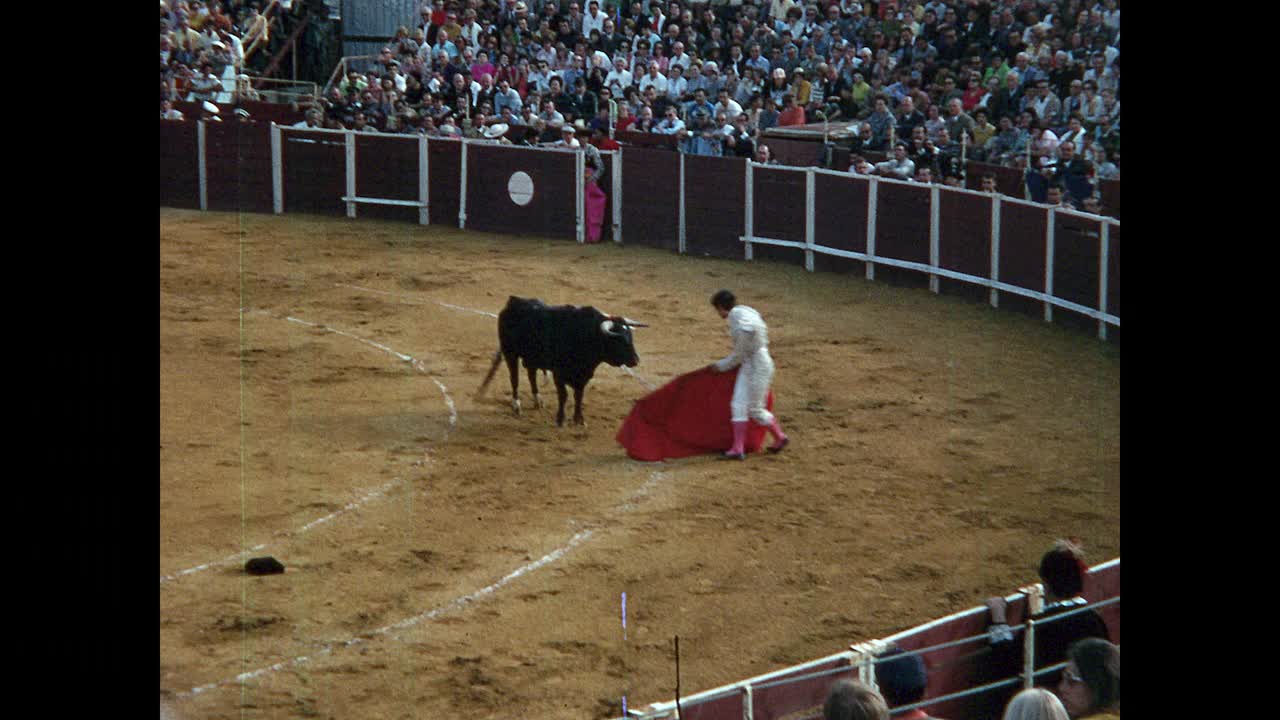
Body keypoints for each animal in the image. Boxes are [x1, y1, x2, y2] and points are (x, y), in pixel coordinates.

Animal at [476, 294, 645, 422]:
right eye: (619, 340)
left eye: (631, 338)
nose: (635, 360)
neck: (586, 335)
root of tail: (513, 301)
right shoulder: (558, 374)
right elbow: (563, 396)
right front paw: (561, 419)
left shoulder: (583, 376)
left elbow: (578, 396)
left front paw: (578, 419)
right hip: (510, 353)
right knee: (514, 378)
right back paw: (516, 405)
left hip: (532, 358)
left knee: (531, 376)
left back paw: (537, 400)